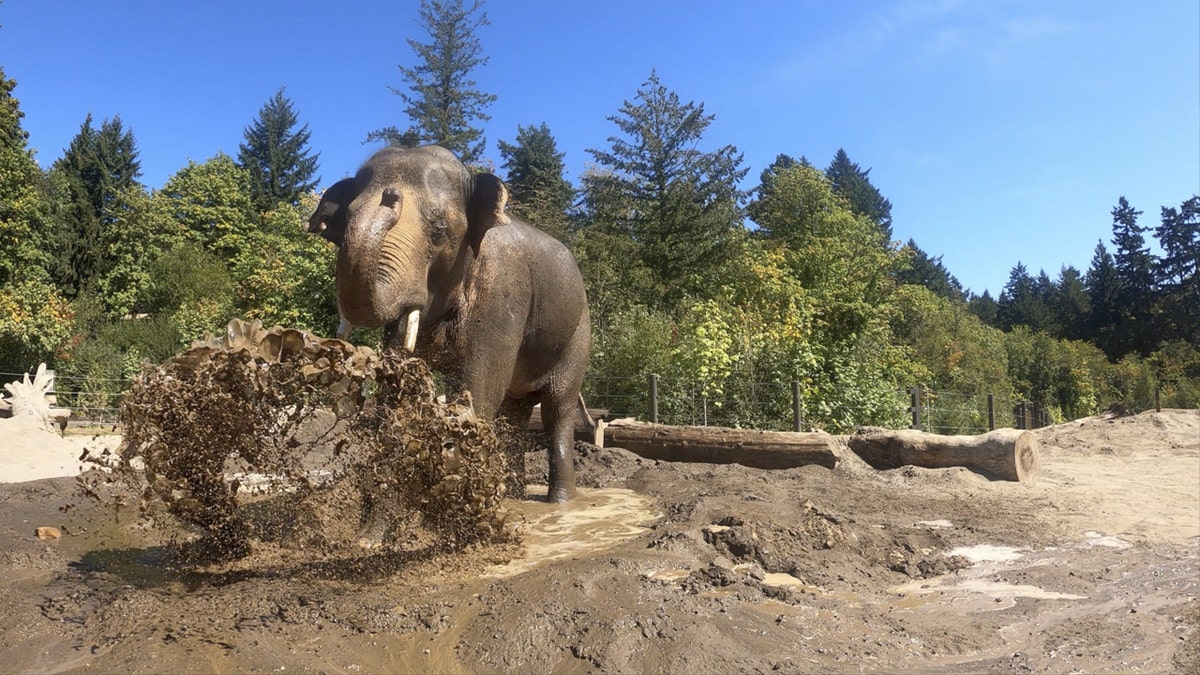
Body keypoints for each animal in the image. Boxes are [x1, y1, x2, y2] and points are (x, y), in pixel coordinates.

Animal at [309, 145, 590, 504]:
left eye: (439, 229)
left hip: (577, 334)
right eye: (346, 218)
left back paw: (560, 502)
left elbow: (477, 387)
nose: (390, 196)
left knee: (557, 408)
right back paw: (512, 495)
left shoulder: (502, 293)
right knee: (515, 411)